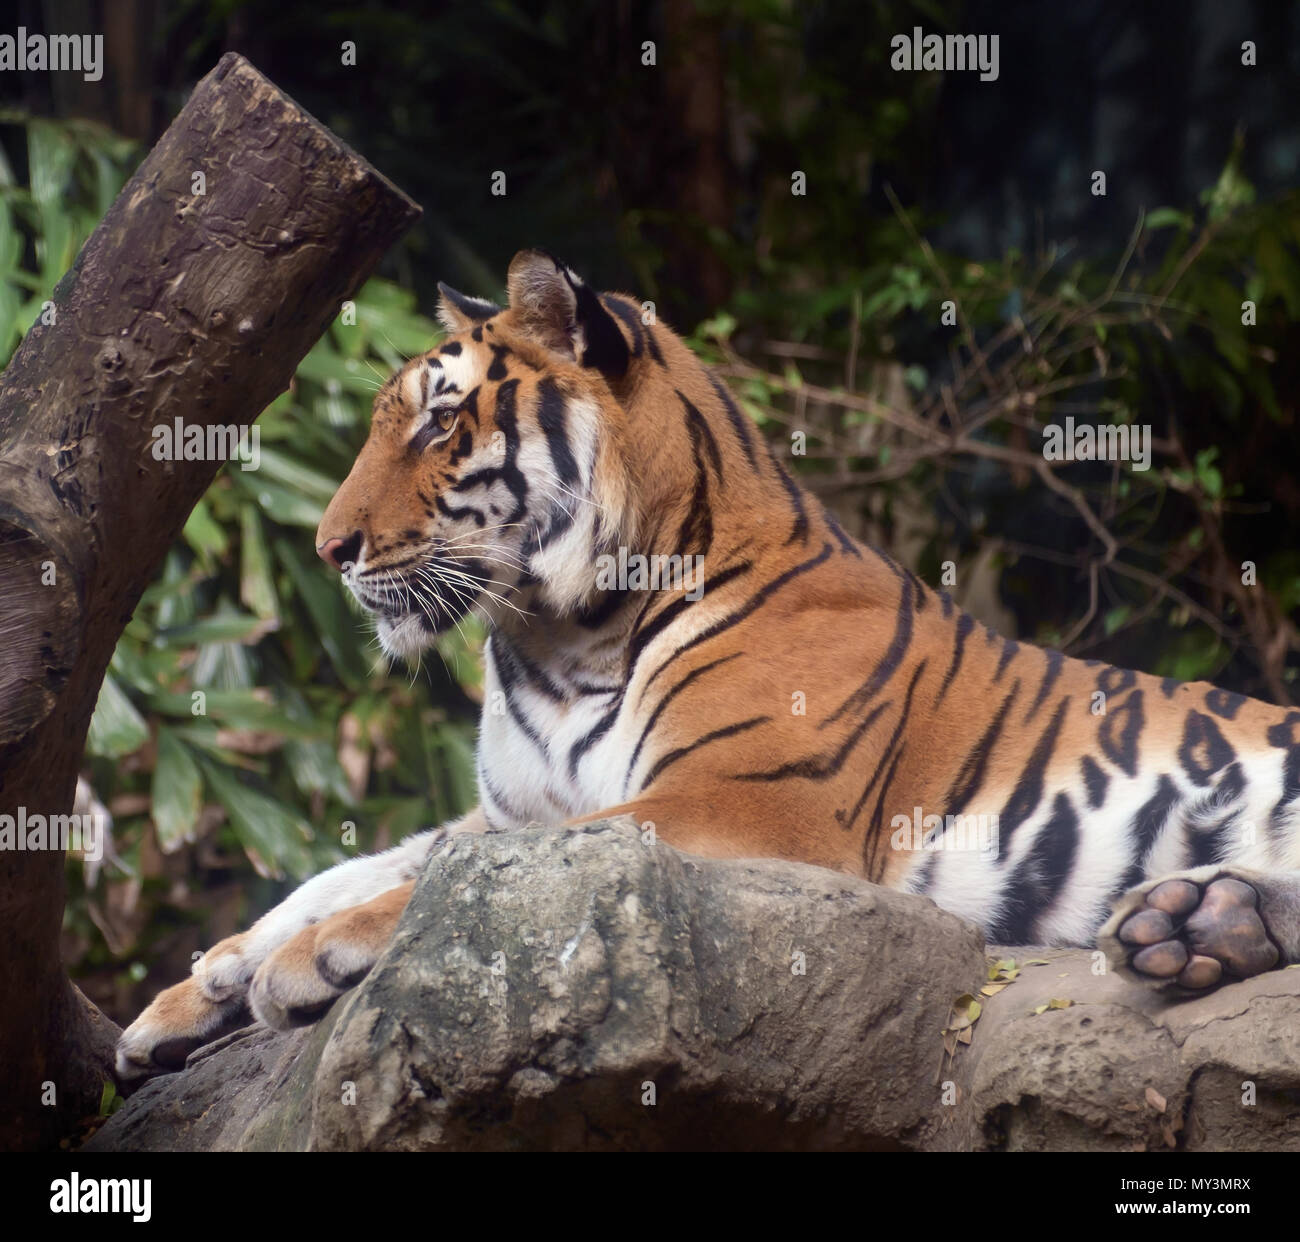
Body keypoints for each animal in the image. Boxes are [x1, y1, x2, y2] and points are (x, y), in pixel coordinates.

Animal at [114, 247, 1300, 1082]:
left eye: (440, 426)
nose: (328, 549)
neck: (560, 633)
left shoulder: (746, 801)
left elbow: (443, 888)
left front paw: (300, 962)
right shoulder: (506, 813)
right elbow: (360, 868)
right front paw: (195, 991)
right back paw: (1199, 926)